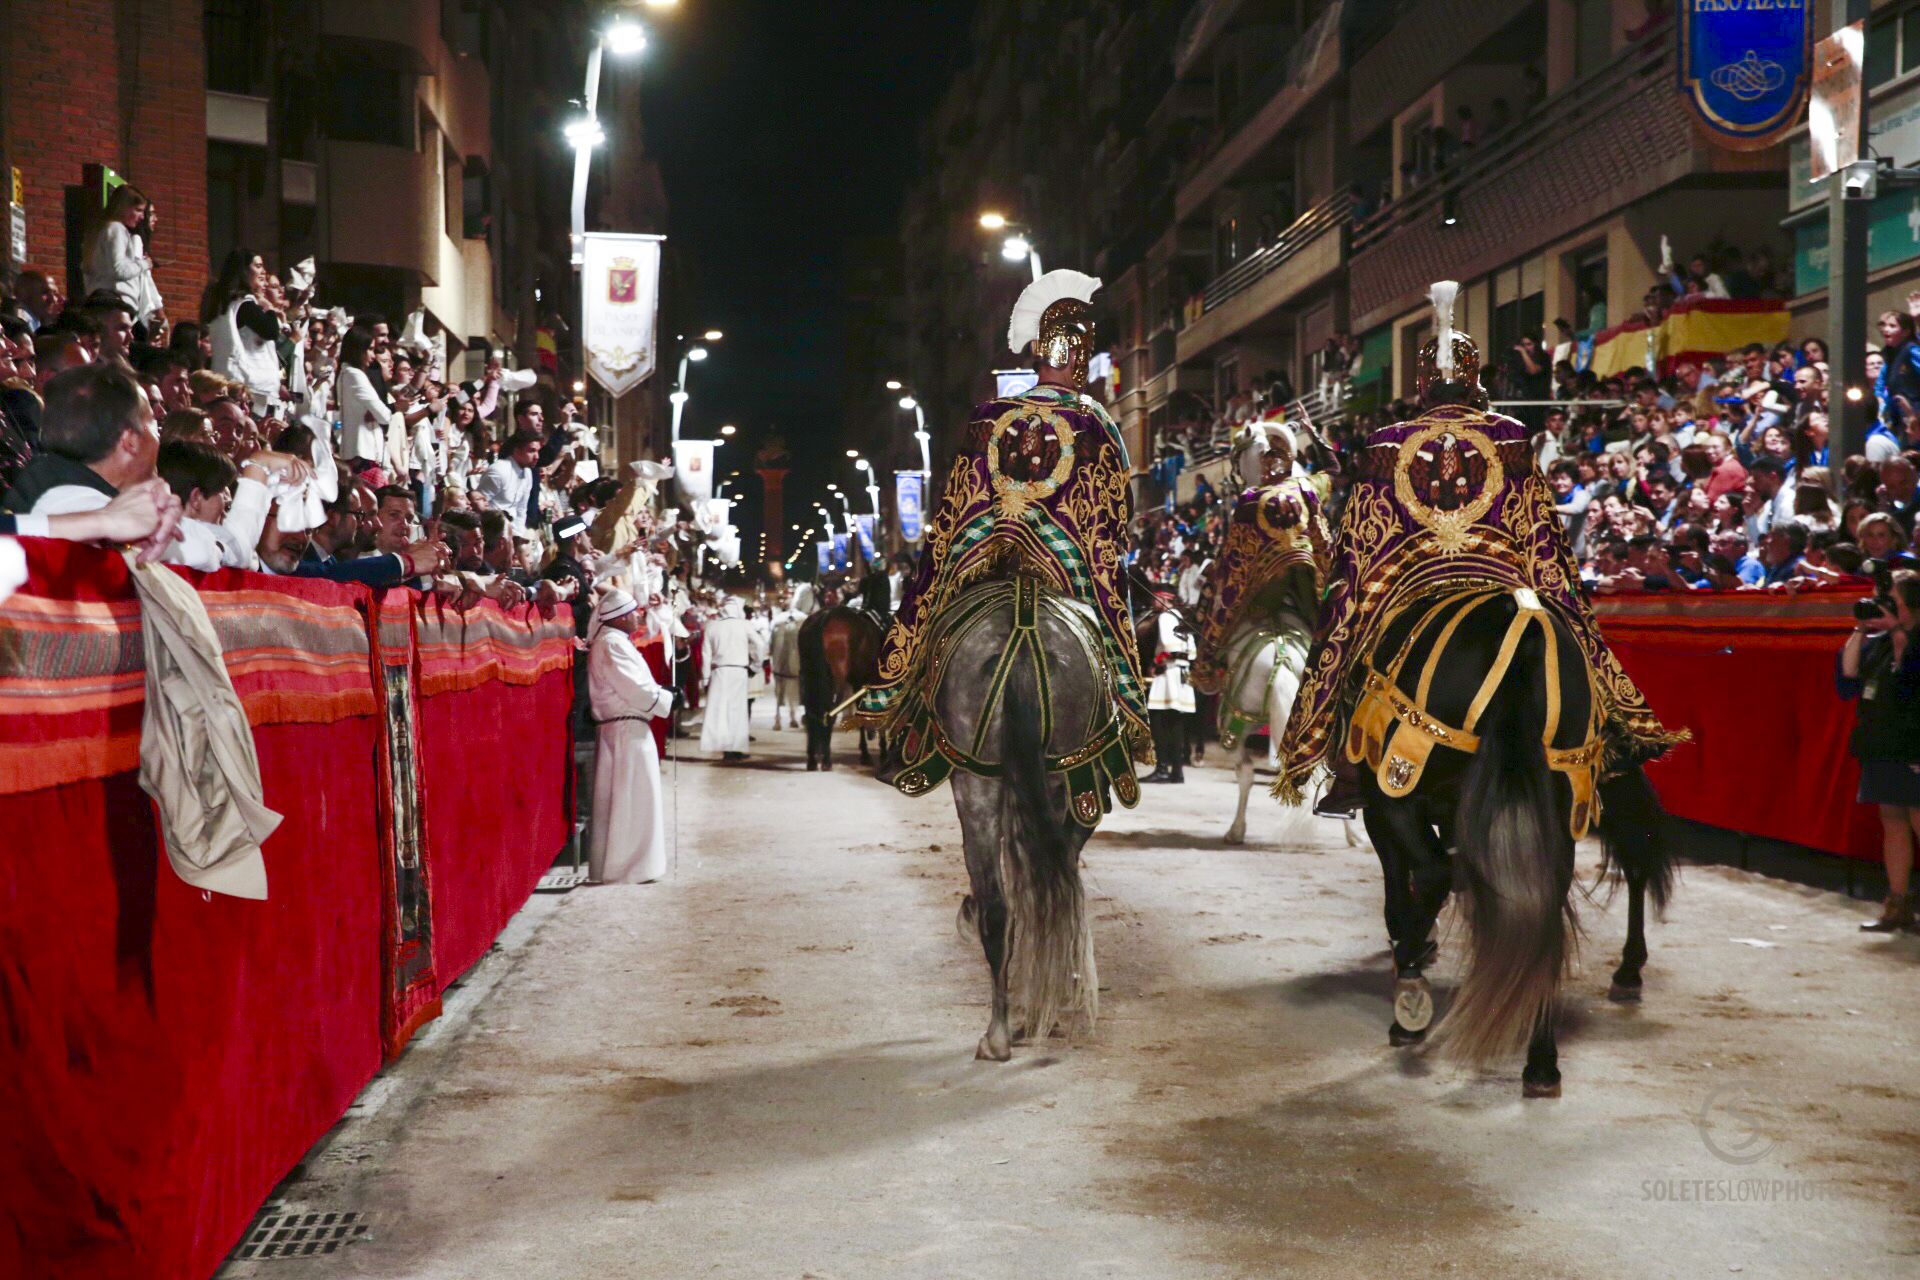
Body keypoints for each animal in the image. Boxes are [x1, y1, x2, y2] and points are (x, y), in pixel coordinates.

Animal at [794, 610, 883, 771]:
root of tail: (825, 616)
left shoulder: (859, 682)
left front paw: (865, 753)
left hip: (808, 677)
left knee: (810, 714)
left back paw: (812, 760)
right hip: (837, 681)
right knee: (831, 713)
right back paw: (826, 761)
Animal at [1351, 591, 1681, 1105]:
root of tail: (1525, 630)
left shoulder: (1384, 799)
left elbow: (1404, 885)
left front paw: (1413, 965)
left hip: (1401, 784)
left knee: (1435, 875)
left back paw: (1412, 991)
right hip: (1564, 797)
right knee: (1573, 893)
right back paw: (1545, 1056)